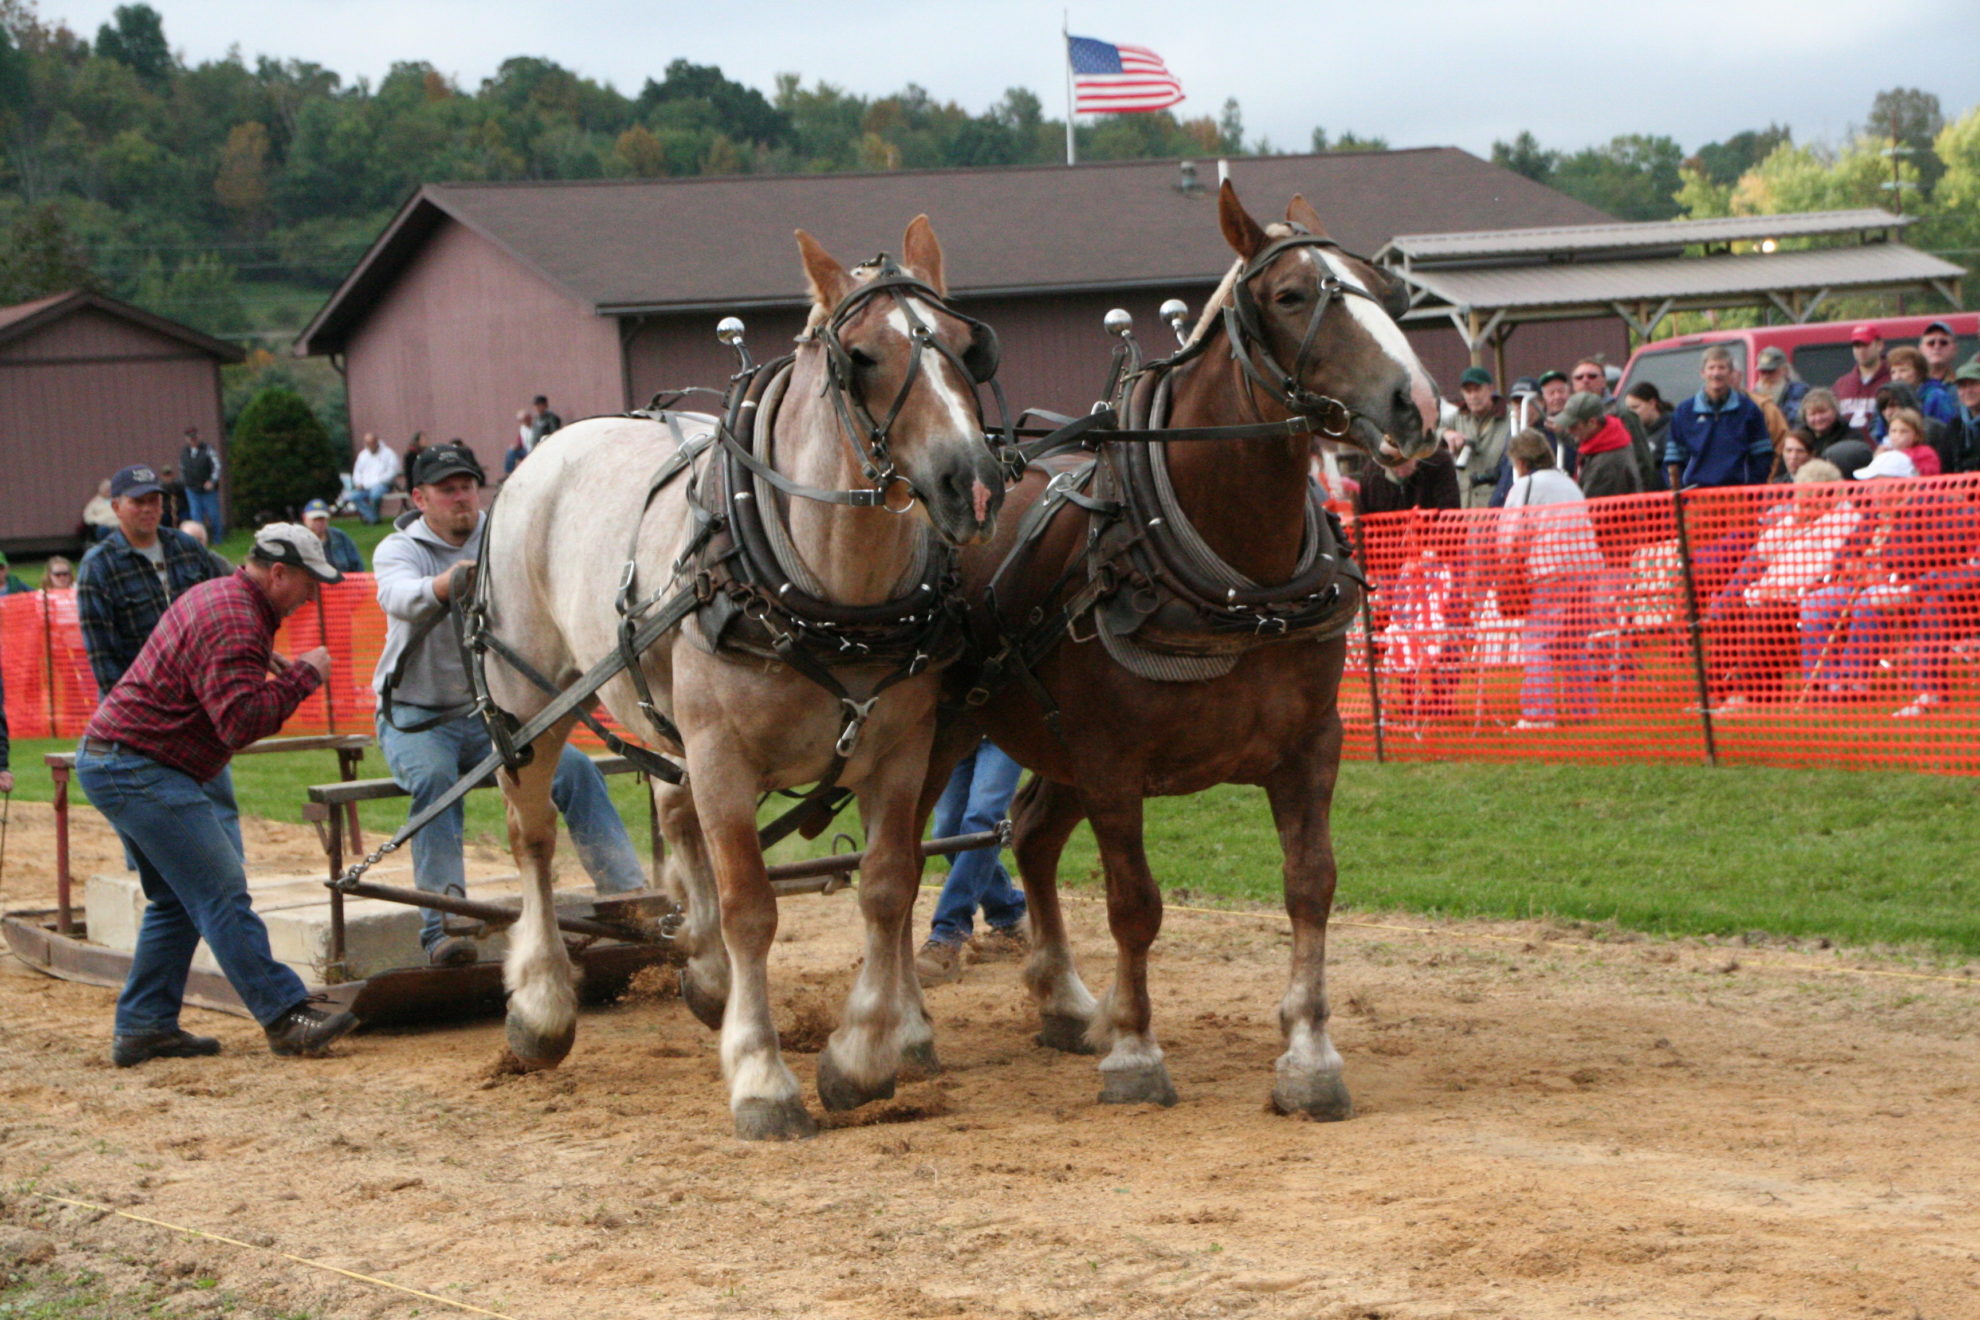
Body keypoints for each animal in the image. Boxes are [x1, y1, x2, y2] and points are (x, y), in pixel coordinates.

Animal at [480, 216, 1004, 1140]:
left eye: (969, 347)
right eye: (861, 357)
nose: (970, 484)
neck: (833, 597)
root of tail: (552, 442)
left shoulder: (900, 751)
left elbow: (887, 888)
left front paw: (860, 1058)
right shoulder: (724, 755)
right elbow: (752, 907)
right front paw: (761, 1077)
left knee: (673, 813)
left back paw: (705, 974)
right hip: (530, 700)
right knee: (534, 836)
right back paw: (542, 1006)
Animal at [924, 181, 1439, 1119]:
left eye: (1385, 289)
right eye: (1291, 295)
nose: (1415, 404)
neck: (1238, 576)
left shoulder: (1310, 746)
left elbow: (1311, 883)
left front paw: (1309, 1056)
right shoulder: (1113, 763)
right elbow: (1135, 904)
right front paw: (1135, 1051)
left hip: (1051, 745)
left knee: (1031, 836)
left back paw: (1063, 999)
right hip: (945, 734)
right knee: (895, 854)